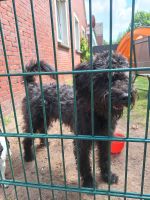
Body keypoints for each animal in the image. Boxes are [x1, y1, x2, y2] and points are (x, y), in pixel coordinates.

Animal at [22, 51, 136, 188]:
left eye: (125, 77)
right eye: (105, 78)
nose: (126, 96)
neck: (96, 113)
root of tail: (33, 86)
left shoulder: (105, 138)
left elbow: (105, 158)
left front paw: (108, 176)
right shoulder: (82, 141)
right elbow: (84, 162)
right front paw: (89, 181)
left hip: (45, 119)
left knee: (42, 130)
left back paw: (44, 143)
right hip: (33, 120)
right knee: (26, 138)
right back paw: (28, 156)